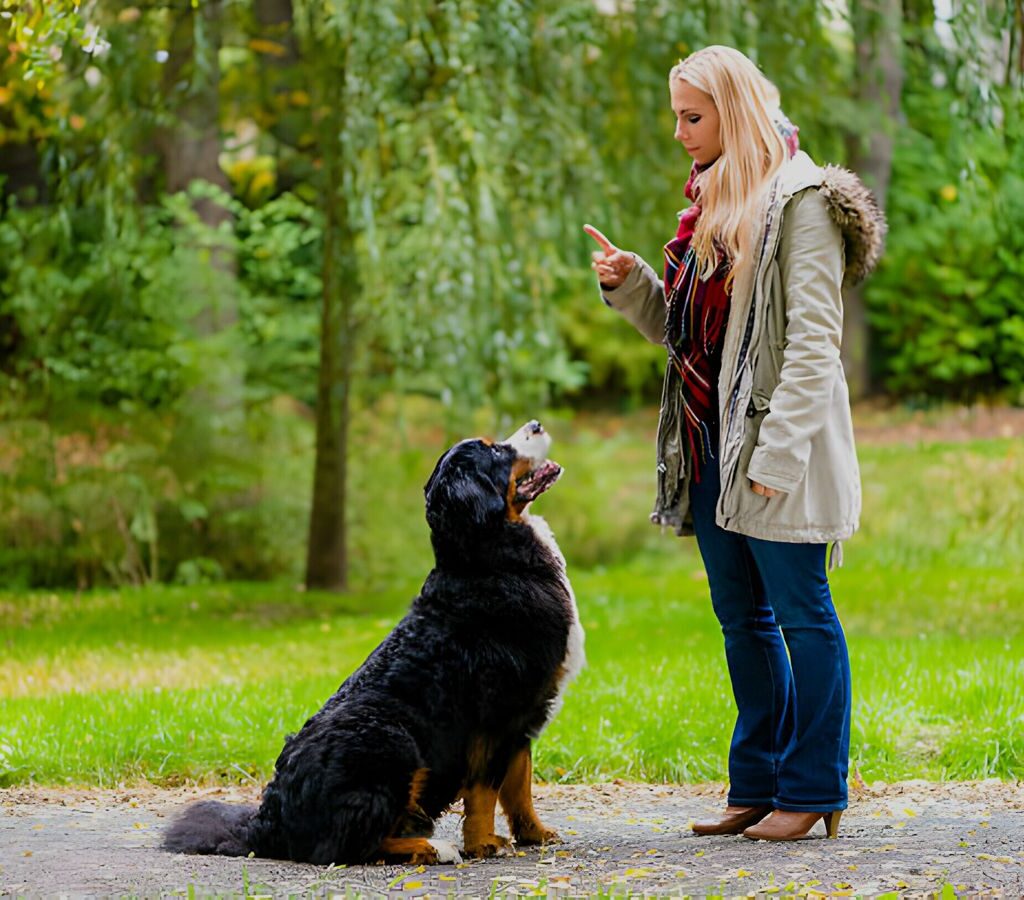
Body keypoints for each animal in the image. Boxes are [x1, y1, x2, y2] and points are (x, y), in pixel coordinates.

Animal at [164, 421, 589, 864]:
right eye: (495, 451)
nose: (536, 425)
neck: (489, 559)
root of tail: (268, 823)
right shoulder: (497, 715)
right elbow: (486, 790)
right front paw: (483, 843)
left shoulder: (524, 716)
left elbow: (519, 786)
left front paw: (534, 834)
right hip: (391, 738)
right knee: (349, 845)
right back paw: (432, 847)